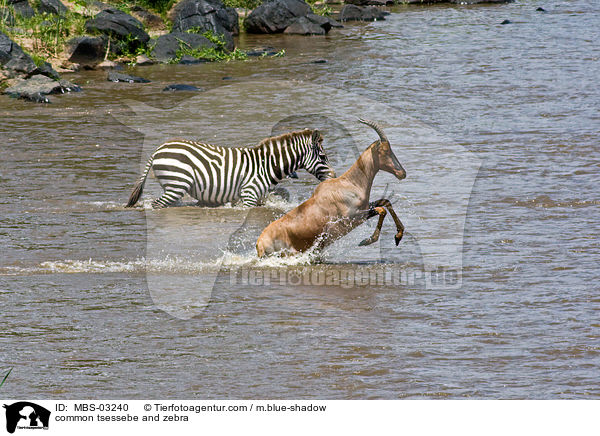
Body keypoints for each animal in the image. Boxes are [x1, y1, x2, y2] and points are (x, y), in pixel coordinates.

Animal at [125, 129, 338, 209]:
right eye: (323, 157)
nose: (334, 177)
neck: (266, 166)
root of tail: (157, 150)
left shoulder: (261, 195)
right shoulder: (249, 195)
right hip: (177, 184)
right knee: (157, 205)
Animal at [255, 117, 406, 258]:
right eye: (385, 151)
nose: (402, 173)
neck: (349, 183)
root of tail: (259, 244)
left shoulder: (365, 207)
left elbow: (386, 202)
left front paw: (398, 237)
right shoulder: (353, 217)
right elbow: (381, 210)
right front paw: (367, 241)